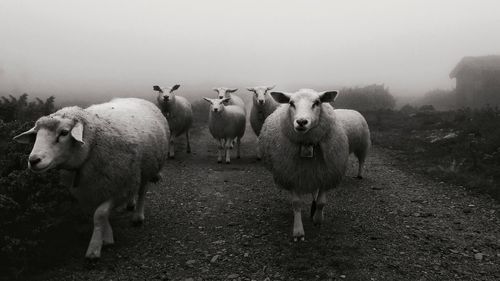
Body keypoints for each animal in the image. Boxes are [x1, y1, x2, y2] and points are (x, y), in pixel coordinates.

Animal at [13, 98, 170, 258]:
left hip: (148, 167)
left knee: (142, 191)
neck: (93, 144)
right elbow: (99, 214)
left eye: (64, 132)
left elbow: (99, 215)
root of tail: (137, 98)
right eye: (36, 135)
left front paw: (94, 247)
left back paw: (138, 216)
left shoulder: (119, 187)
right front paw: (107, 237)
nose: (33, 160)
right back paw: (130, 204)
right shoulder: (89, 191)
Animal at [260, 88, 370, 241]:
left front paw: (318, 219)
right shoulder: (291, 174)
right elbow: (296, 203)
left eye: (317, 103)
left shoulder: (327, 172)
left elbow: (321, 202)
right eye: (291, 103)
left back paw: (359, 174)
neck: (307, 143)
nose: (301, 122)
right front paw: (298, 231)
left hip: (361, 145)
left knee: (361, 160)